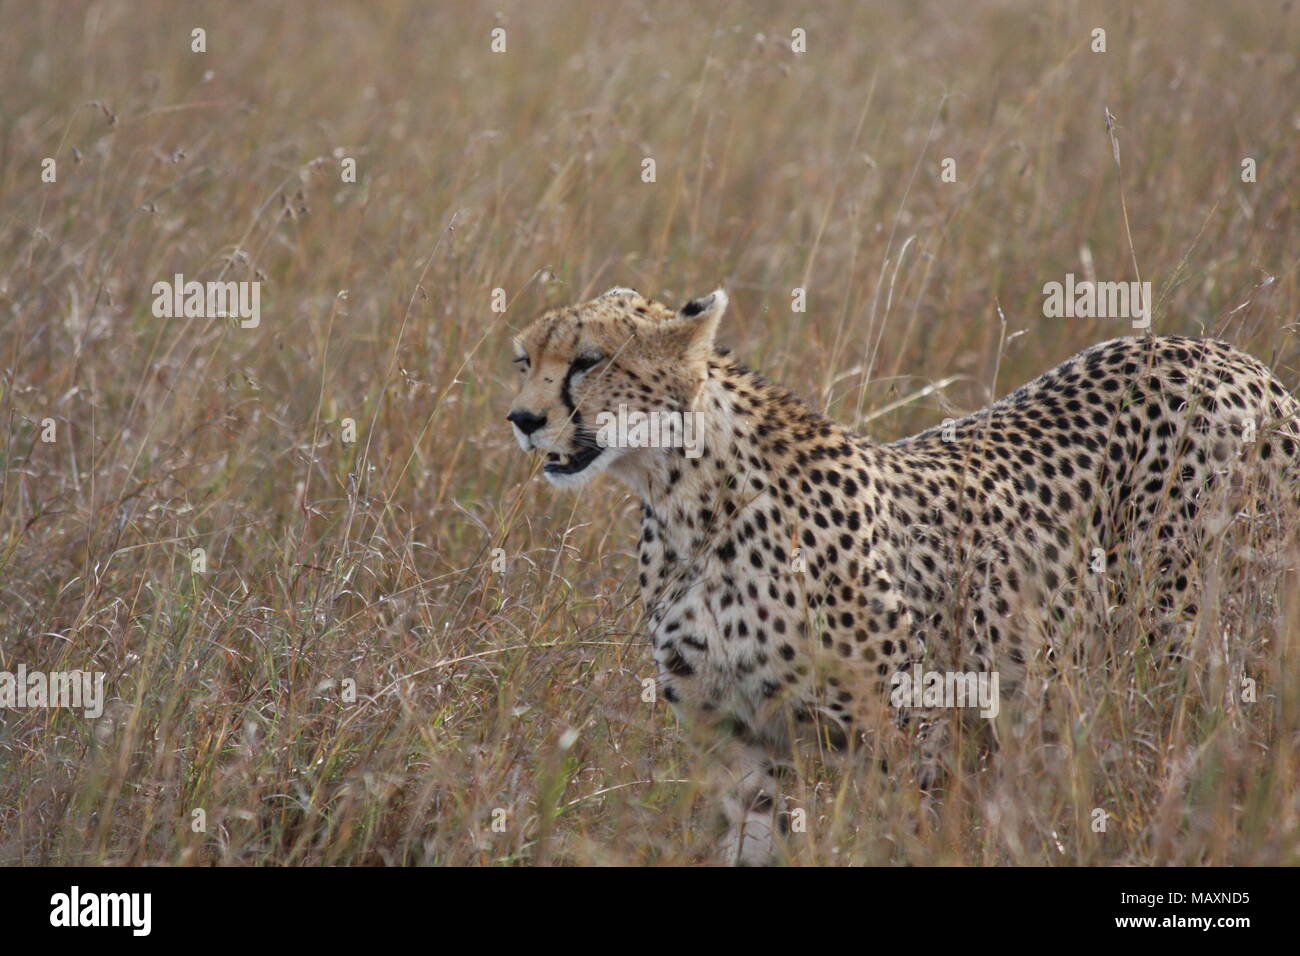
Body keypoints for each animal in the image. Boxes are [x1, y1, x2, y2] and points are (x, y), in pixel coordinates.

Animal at [501, 287, 1294, 863]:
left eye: (589, 361)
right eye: (524, 361)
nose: (522, 419)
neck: (686, 501)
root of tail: (1231, 357)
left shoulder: (900, 730)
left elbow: (893, 836)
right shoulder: (737, 745)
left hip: (1182, 636)